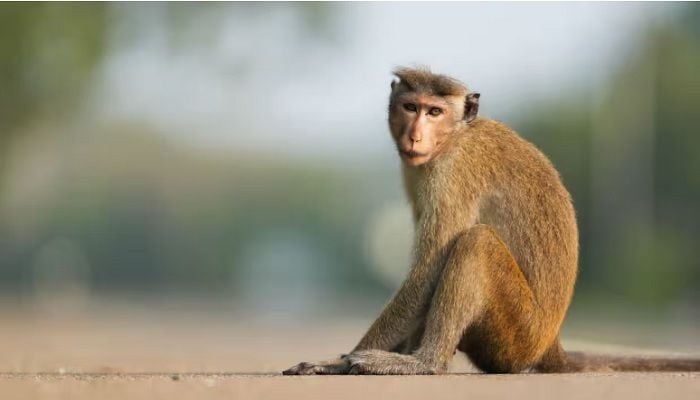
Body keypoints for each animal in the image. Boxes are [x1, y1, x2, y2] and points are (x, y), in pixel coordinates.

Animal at [283, 67, 700, 375]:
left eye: (434, 112)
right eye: (410, 106)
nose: (415, 136)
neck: (453, 137)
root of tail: (550, 346)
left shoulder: (451, 174)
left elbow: (427, 272)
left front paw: (338, 361)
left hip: (517, 335)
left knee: (474, 244)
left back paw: (425, 363)